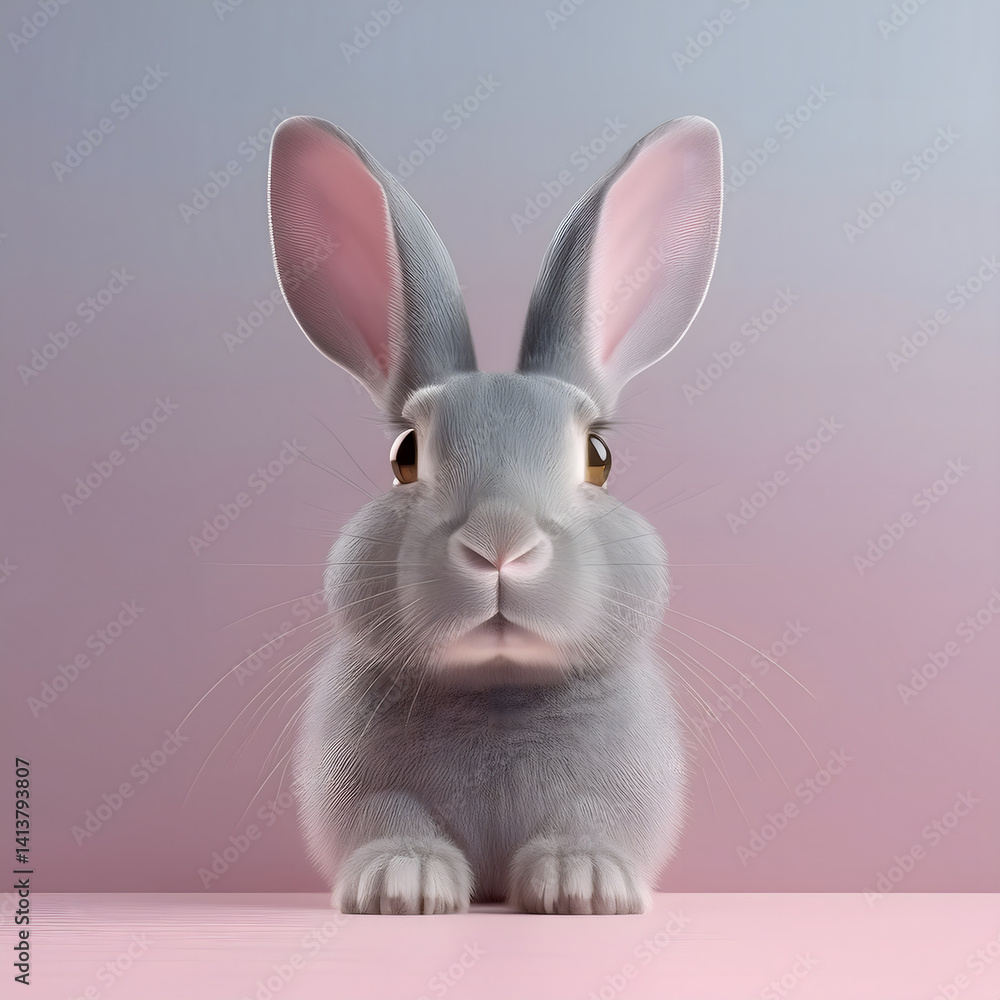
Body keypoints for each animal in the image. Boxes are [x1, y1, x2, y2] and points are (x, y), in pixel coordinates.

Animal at [267, 112, 722, 915]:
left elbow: (589, 822)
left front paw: (584, 883)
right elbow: (388, 821)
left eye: (599, 456)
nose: (500, 544)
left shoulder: (617, 792)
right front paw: (403, 884)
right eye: (404, 456)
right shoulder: (359, 788)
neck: (498, 686)